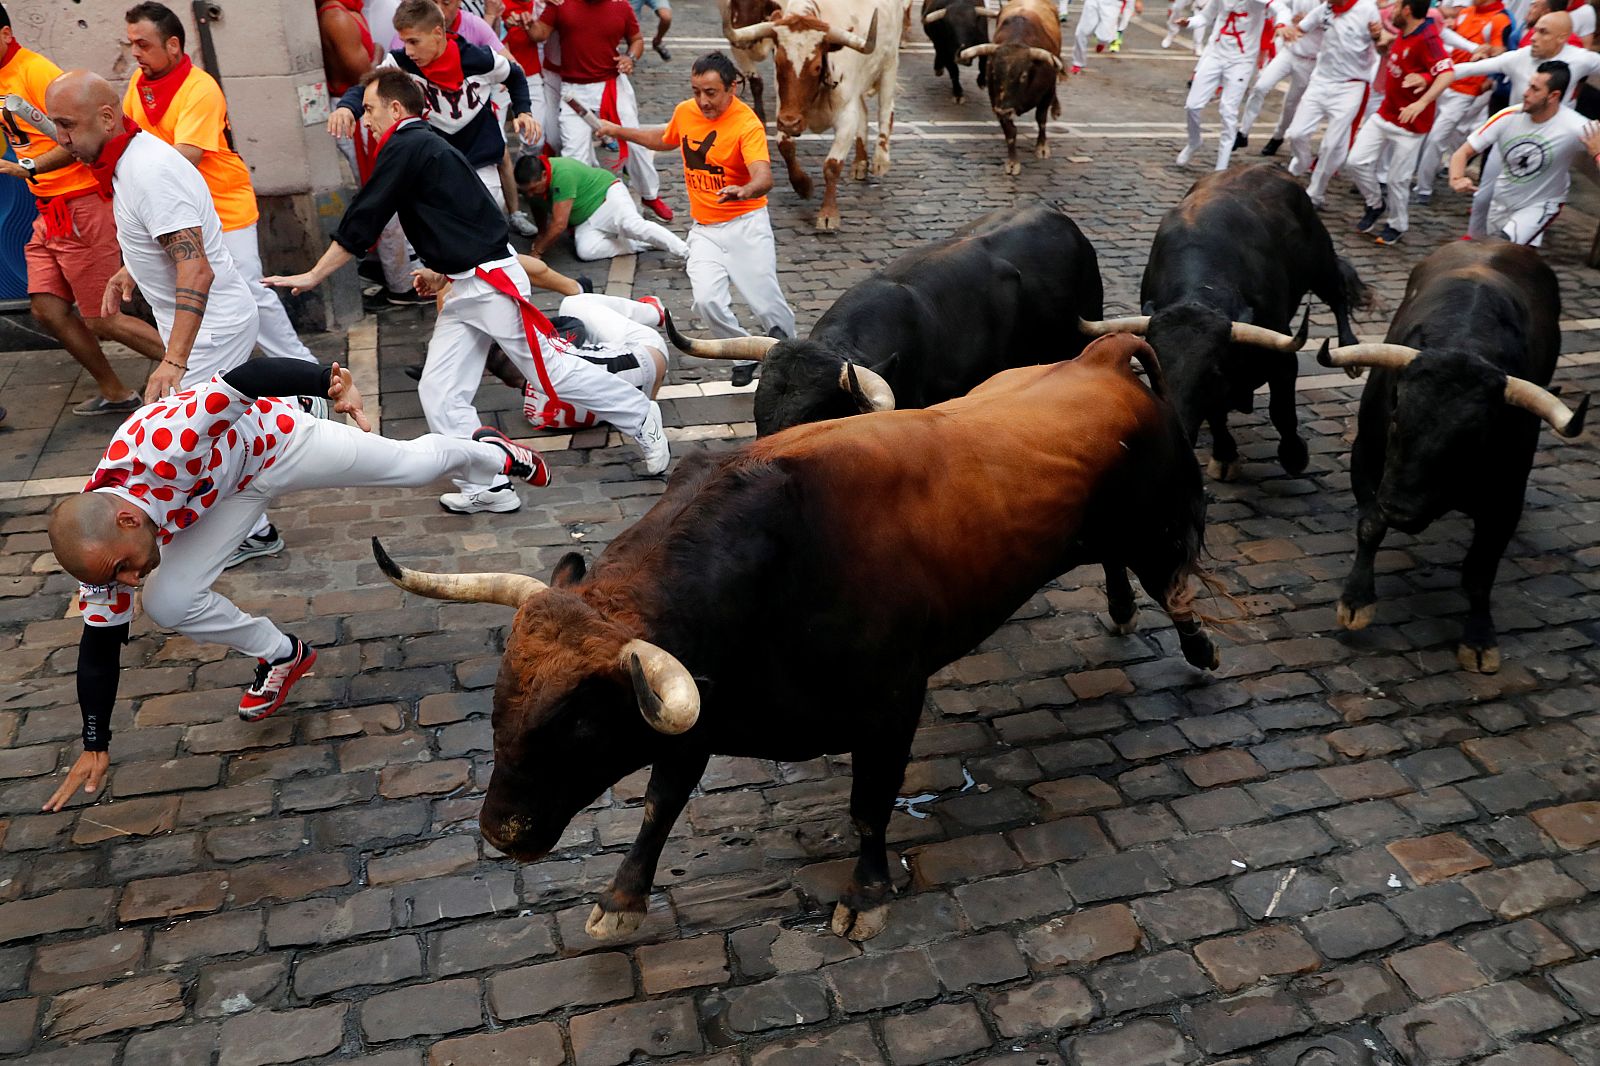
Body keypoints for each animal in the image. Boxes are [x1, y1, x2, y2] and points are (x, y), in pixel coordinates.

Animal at [371, 334, 1222, 941]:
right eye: (500, 701)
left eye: (580, 722)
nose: (499, 831)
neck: (779, 563)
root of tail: (1098, 357)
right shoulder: (693, 709)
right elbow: (658, 805)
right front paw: (622, 895)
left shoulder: (890, 706)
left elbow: (869, 807)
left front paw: (867, 894)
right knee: (1113, 562)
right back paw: (1121, 610)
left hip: (1155, 525)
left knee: (1175, 587)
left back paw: (1198, 650)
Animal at [1312, 240, 1587, 672]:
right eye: (1395, 415)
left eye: (1474, 438)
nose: (1400, 510)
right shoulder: (1367, 456)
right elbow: (1370, 527)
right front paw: (1356, 601)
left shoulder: (1506, 498)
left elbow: (1479, 572)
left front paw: (1479, 638)